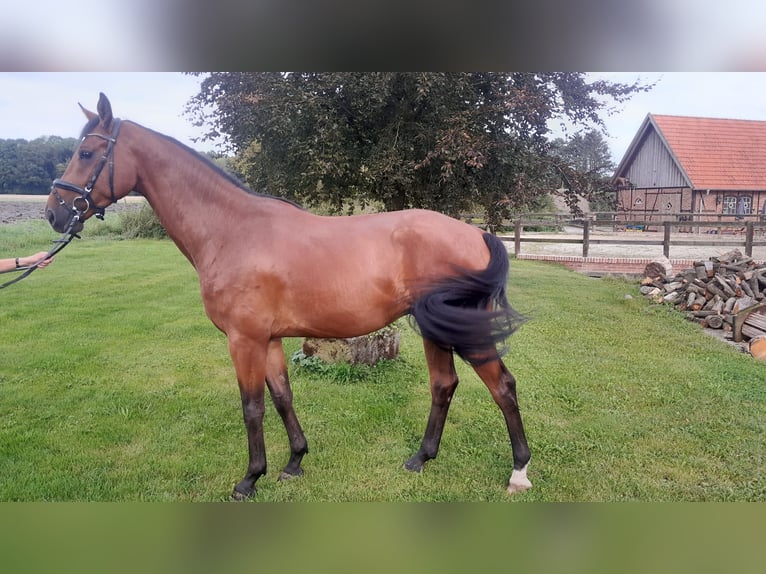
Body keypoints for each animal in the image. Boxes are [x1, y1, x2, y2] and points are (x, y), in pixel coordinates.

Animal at [43, 93, 536, 500]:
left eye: (86, 153)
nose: (53, 213)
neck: (231, 230)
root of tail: (475, 233)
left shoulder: (243, 340)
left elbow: (252, 407)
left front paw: (249, 479)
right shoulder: (271, 339)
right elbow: (282, 396)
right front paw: (295, 461)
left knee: (502, 386)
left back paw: (518, 472)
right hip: (435, 328)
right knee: (443, 384)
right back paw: (420, 459)